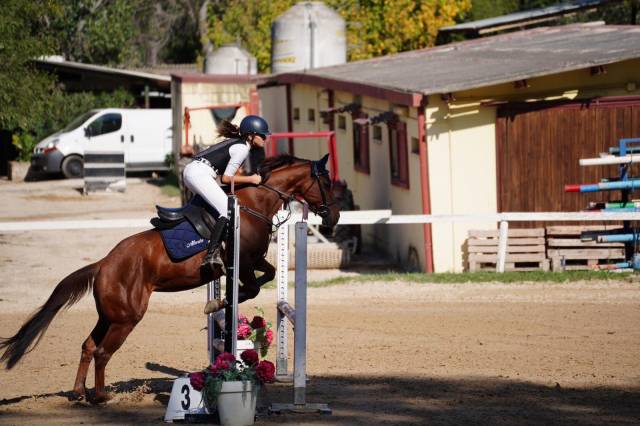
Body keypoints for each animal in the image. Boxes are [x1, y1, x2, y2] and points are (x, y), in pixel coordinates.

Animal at [0, 154, 340, 403]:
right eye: (326, 181)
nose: (335, 217)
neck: (254, 204)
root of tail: (102, 264)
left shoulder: (254, 261)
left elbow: (269, 274)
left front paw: (222, 306)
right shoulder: (242, 264)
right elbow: (252, 288)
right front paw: (219, 304)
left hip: (109, 315)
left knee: (87, 346)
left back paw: (78, 393)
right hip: (127, 317)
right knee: (101, 352)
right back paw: (101, 397)